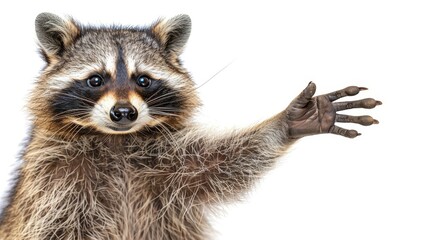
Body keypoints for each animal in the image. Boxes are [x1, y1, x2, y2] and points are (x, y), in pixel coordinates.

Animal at [0, 13, 382, 240]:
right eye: (95, 80)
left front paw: (285, 123)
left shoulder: (169, 169)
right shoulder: (51, 182)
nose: (123, 113)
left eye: (143, 80)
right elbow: (53, 225)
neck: (116, 141)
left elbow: (220, 164)